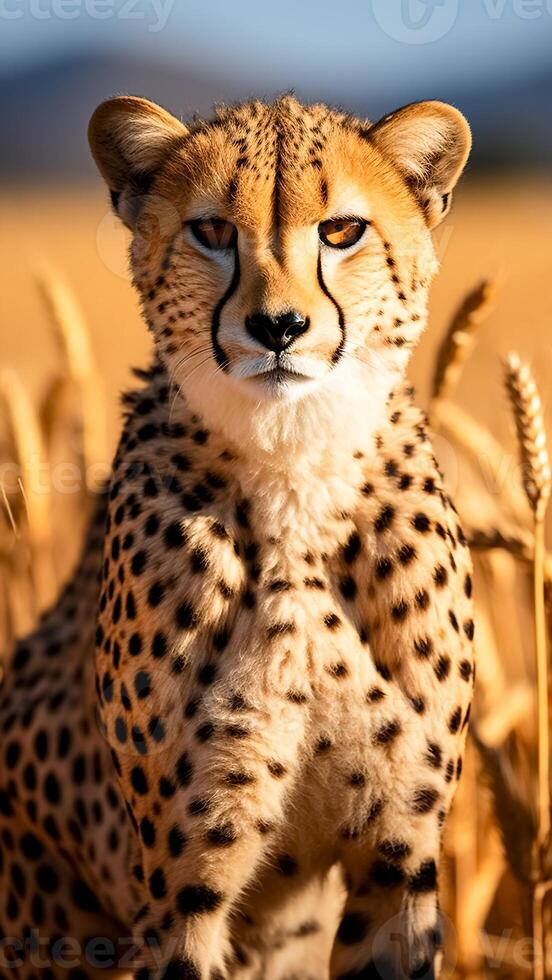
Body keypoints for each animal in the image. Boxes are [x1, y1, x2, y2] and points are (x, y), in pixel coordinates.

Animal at [0, 94, 474, 980]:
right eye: (214, 231)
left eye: (341, 231)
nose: (279, 326)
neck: (294, 464)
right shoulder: (184, 882)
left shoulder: (398, 860)